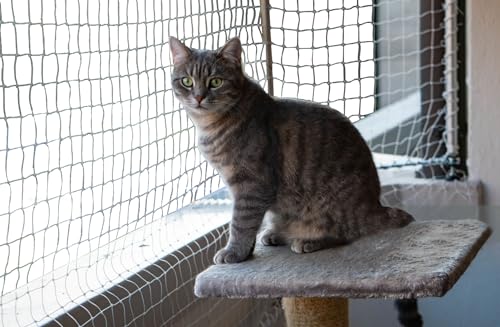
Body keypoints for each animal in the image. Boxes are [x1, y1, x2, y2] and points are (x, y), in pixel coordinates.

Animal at [170, 37, 412, 266]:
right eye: (187, 81)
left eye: (215, 82)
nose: (198, 97)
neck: (211, 125)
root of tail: (375, 207)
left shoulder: (252, 185)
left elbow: (241, 223)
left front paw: (235, 252)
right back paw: (276, 234)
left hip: (330, 207)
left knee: (345, 233)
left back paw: (307, 241)